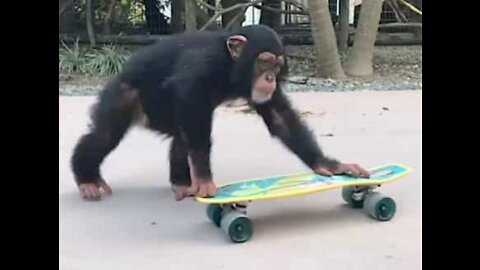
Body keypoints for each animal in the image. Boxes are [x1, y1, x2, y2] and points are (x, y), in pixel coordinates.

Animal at [72, 25, 372, 201]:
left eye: (277, 66)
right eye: (264, 61)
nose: (269, 78)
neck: (231, 65)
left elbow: (280, 118)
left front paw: (330, 165)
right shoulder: (203, 64)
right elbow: (189, 93)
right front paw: (205, 180)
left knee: (181, 138)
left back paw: (181, 183)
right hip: (123, 95)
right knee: (105, 134)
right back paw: (87, 179)